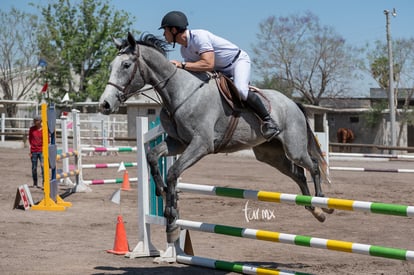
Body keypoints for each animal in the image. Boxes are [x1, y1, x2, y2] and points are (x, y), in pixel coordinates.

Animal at [100, 33, 334, 242]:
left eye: (126, 65)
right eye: (111, 66)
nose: (105, 104)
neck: (181, 92)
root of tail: (293, 103)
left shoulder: (201, 145)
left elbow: (173, 172)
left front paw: (170, 214)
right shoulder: (178, 143)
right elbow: (152, 156)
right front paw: (162, 192)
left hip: (294, 148)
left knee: (313, 166)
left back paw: (322, 203)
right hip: (270, 154)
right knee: (298, 174)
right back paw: (314, 209)